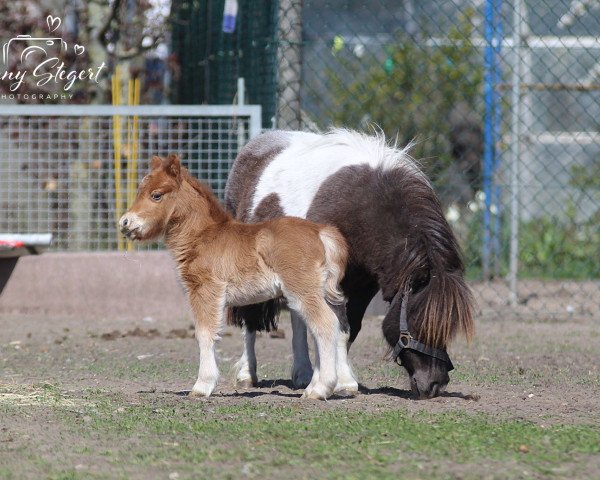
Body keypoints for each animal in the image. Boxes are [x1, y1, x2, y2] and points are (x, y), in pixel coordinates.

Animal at [119, 156, 350, 400]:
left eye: (156, 195)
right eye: (139, 191)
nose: (124, 223)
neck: (203, 237)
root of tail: (321, 232)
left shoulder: (206, 290)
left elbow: (205, 333)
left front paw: (202, 386)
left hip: (302, 291)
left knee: (325, 324)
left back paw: (320, 389)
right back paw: (314, 385)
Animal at [225, 129, 474, 400]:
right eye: (417, 321)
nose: (436, 384)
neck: (362, 208)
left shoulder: (362, 286)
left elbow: (347, 329)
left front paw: (327, 379)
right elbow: (336, 327)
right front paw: (341, 381)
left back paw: (302, 373)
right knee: (250, 319)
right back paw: (247, 374)